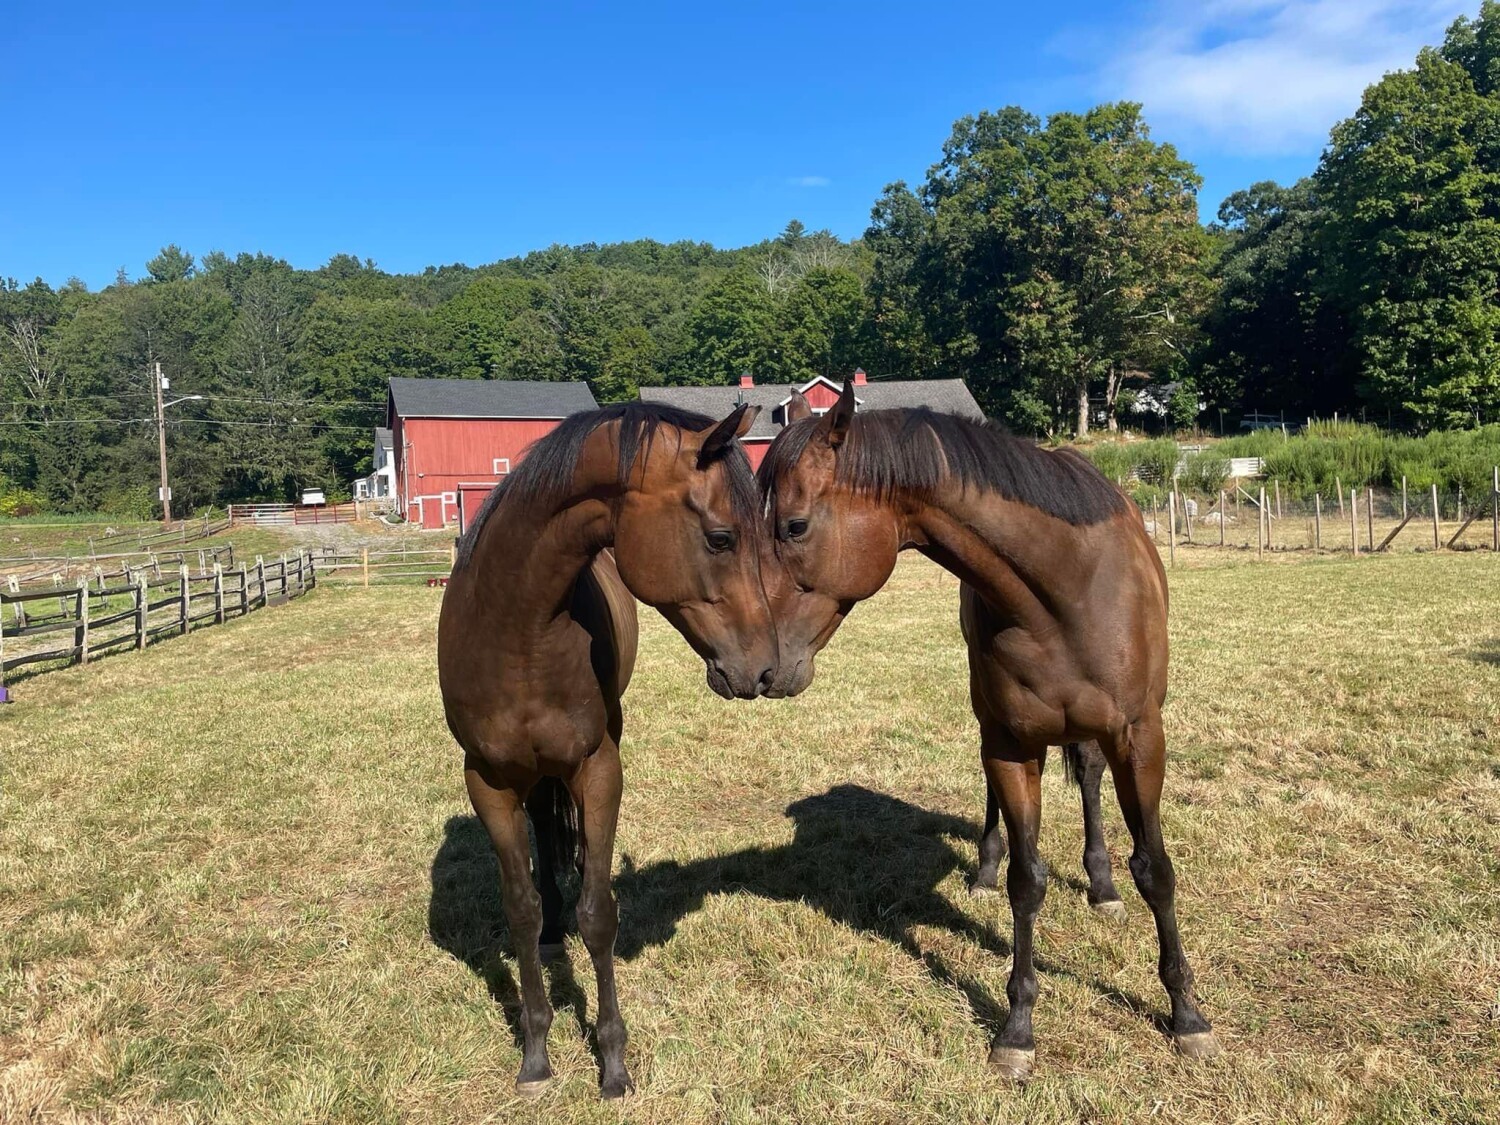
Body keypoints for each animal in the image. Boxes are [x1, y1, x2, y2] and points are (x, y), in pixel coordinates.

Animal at [438, 401, 777, 1100]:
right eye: (722, 538)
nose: (765, 669)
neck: (517, 629)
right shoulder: (487, 782)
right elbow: (519, 908)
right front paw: (535, 1053)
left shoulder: (598, 770)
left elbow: (599, 914)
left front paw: (613, 1062)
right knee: (544, 838)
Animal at [757, 382, 1220, 1080]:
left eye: (794, 526)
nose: (753, 666)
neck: (1062, 591)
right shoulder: (1011, 741)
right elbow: (1028, 882)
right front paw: (1018, 1027)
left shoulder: (1140, 737)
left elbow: (1155, 869)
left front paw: (1186, 1014)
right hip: (993, 727)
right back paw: (984, 868)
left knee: (1089, 780)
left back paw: (1102, 884)